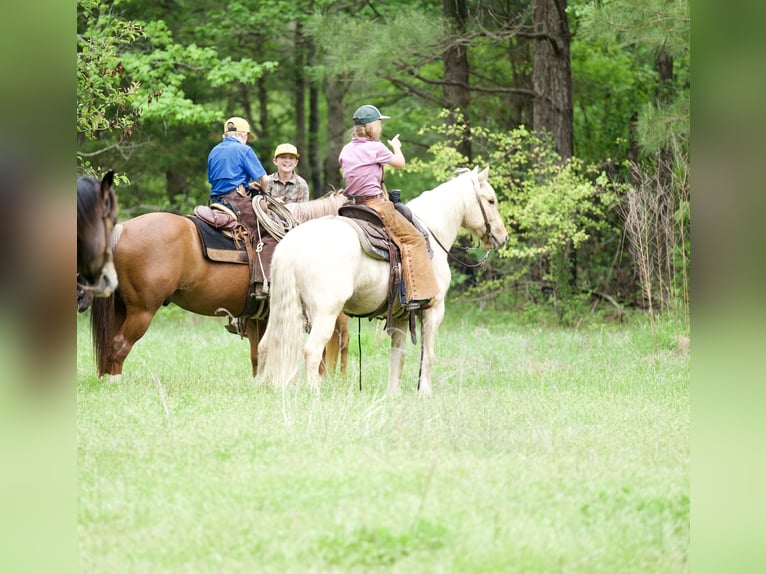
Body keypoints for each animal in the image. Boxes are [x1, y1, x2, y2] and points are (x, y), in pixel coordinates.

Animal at [90, 192, 350, 378]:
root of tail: (121, 230)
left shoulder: (257, 316)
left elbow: (258, 355)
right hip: (142, 310)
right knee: (120, 345)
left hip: (121, 308)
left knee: (109, 344)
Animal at [256, 166, 509, 395]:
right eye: (491, 201)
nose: (502, 236)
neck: (432, 231)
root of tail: (292, 244)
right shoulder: (434, 309)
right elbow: (428, 353)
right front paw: (425, 393)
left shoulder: (401, 315)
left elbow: (398, 354)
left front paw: (392, 393)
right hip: (325, 312)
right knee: (311, 350)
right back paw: (314, 394)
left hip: (281, 309)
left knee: (266, 344)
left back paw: (263, 386)